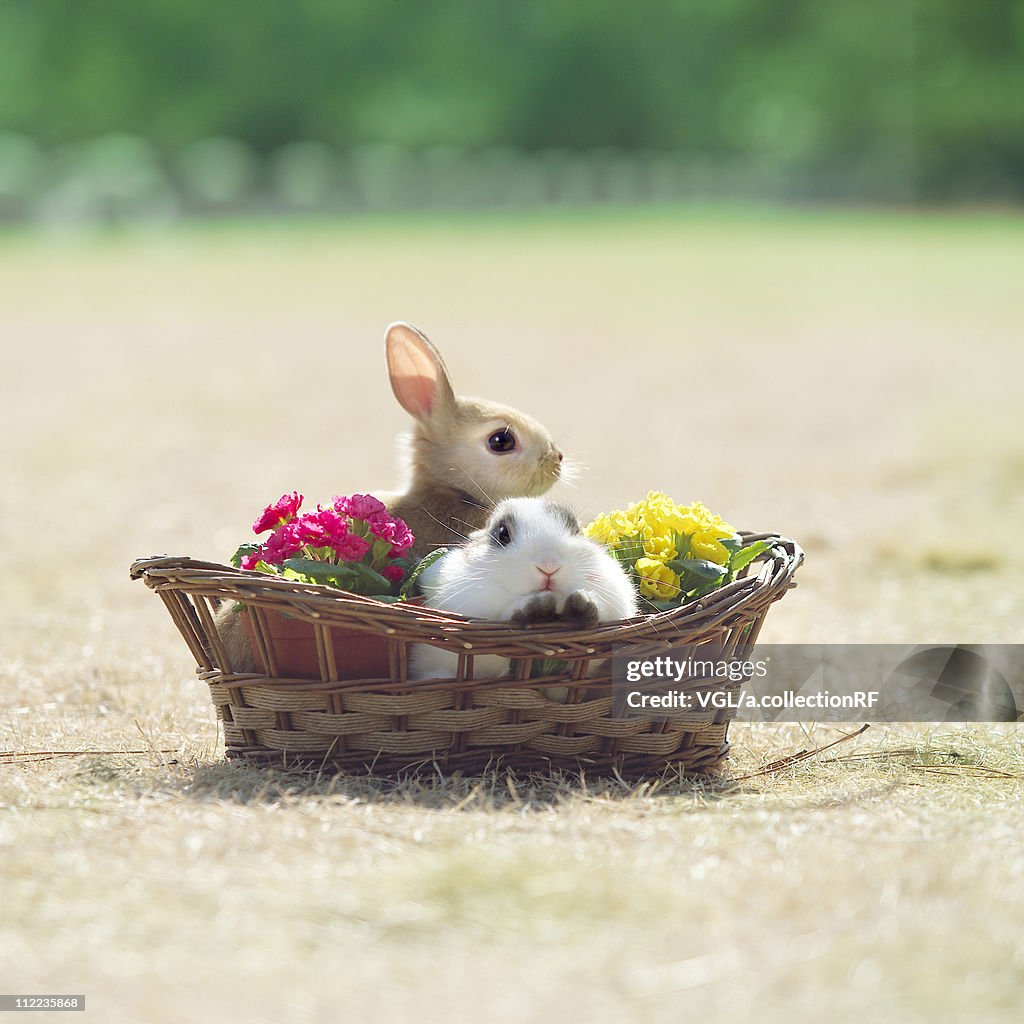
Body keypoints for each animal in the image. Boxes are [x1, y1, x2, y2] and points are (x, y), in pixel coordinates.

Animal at [409, 491, 638, 692]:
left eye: (576, 530)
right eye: (503, 533)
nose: (549, 564)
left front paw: (582, 605)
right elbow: (502, 618)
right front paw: (535, 608)